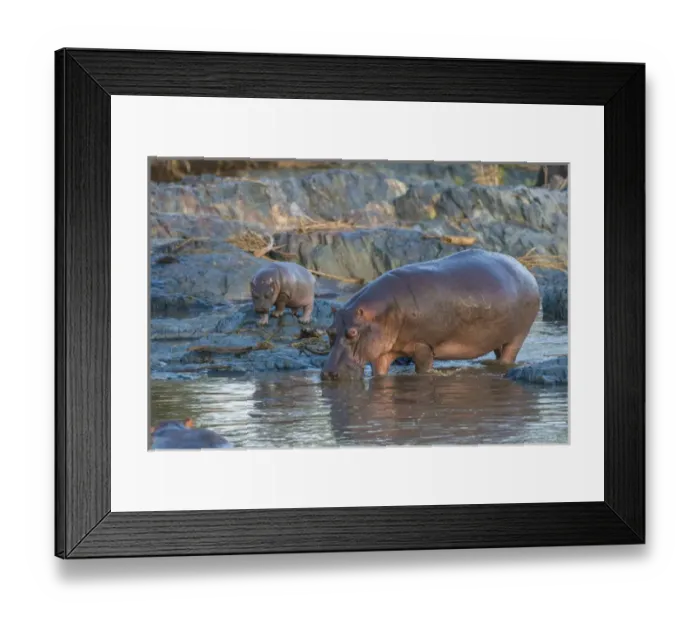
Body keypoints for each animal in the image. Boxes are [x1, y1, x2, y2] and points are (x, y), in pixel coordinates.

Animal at [321, 249, 540, 380]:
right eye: (329, 331)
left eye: (352, 333)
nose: (328, 373)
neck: (384, 312)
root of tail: (525, 269)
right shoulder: (383, 351)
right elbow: (379, 372)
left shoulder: (423, 344)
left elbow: (423, 368)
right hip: (499, 335)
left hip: (519, 334)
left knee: (509, 354)